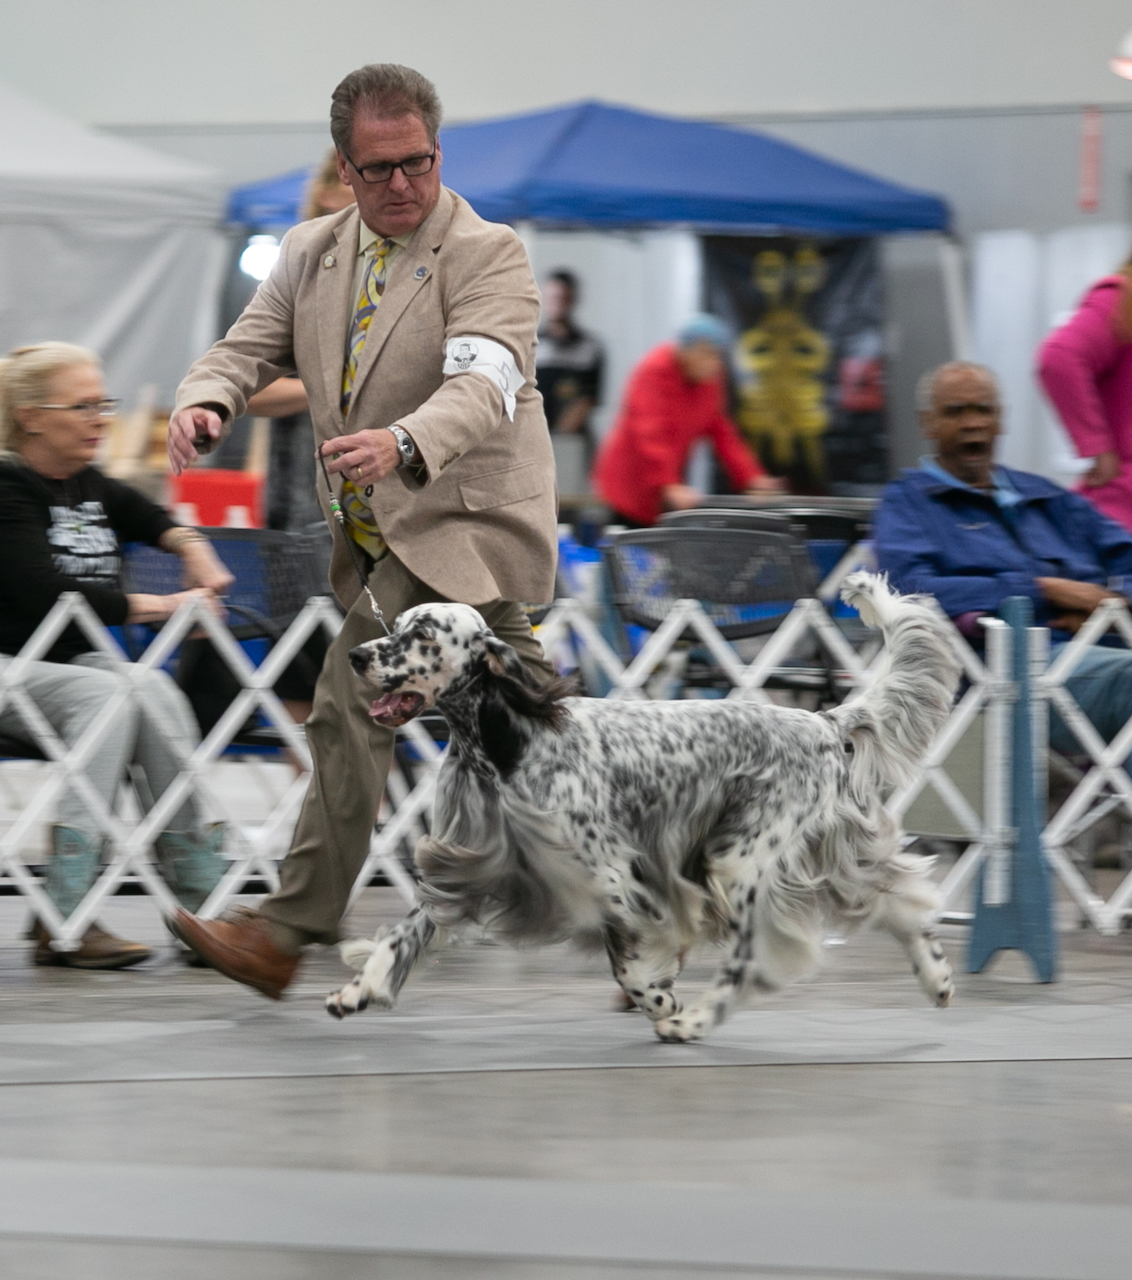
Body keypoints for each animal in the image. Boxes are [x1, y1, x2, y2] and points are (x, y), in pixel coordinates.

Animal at [327, 573, 961, 1042]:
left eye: (424, 635)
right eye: (395, 627)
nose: (356, 655)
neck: (509, 742)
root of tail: (824, 722)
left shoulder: (609, 874)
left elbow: (630, 964)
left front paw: (661, 1000)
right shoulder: (475, 861)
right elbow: (407, 930)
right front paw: (358, 989)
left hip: (740, 863)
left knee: (750, 957)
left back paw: (694, 1022)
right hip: (830, 852)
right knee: (900, 898)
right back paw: (937, 978)